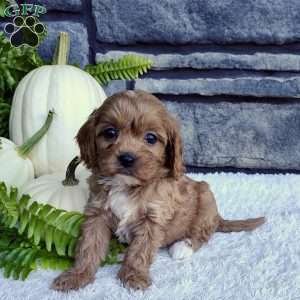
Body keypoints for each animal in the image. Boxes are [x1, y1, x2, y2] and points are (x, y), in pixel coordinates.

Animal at [51, 90, 264, 292]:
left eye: (151, 138)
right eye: (110, 133)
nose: (126, 158)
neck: (128, 186)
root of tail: (218, 217)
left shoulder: (152, 219)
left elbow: (140, 251)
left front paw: (134, 276)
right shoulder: (97, 214)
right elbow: (88, 246)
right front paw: (77, 275)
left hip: (206, 199)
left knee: (203, 234)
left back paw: (182, 247)